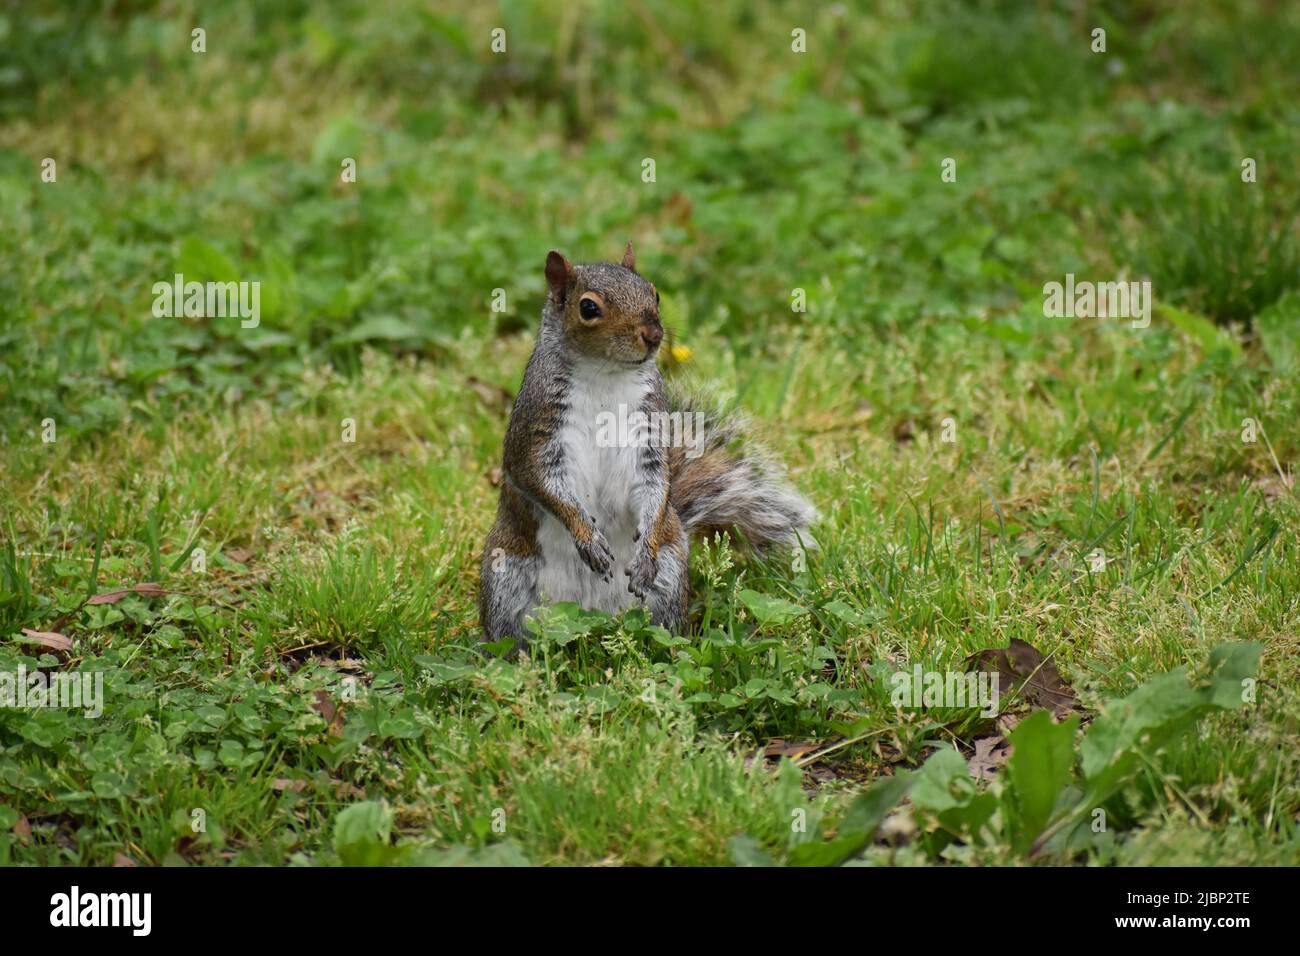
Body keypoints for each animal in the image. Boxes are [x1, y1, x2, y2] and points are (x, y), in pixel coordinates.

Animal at [483, 243, 816, 655]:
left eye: (654, 293)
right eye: (588, 307)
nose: (654, 334)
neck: (605, 375)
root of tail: (592, 615)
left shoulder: (648, 434)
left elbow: (655, 486)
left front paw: (644, 552)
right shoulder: (536, 431)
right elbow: (539, 480)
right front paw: (588, 537)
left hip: (670, 576)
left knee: (661, 629)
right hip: (505, 577)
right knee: (507, 635)